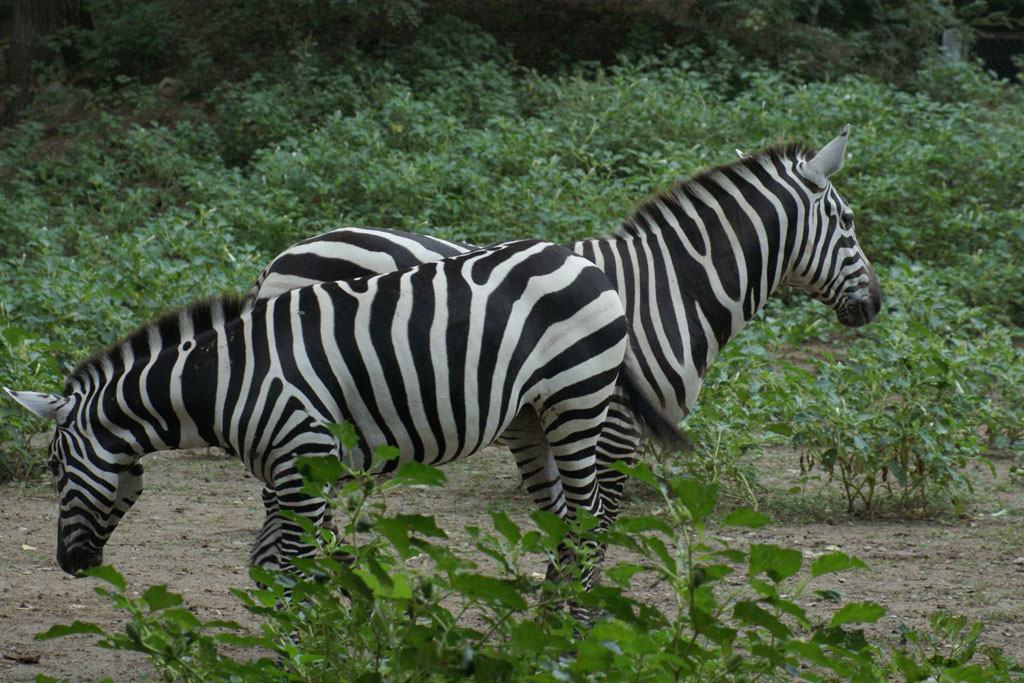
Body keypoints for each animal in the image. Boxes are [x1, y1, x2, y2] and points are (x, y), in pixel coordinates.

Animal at [8, 240, 684, 581]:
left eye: (54, 469)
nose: (70, 566)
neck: (226, 381)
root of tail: (583, 260)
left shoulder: (301, 465)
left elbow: (294, 566)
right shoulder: (295, 475)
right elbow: (287, 562)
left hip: (577, 396)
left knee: (590, 522)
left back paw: (572, 637)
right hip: (531, 416)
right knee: (564, 523)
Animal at [245, 125, 880, 532]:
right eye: (849, 221)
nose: (875, 305)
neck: (671, 289)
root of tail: (281, 258)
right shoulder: (615, 428)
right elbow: (593, 525)